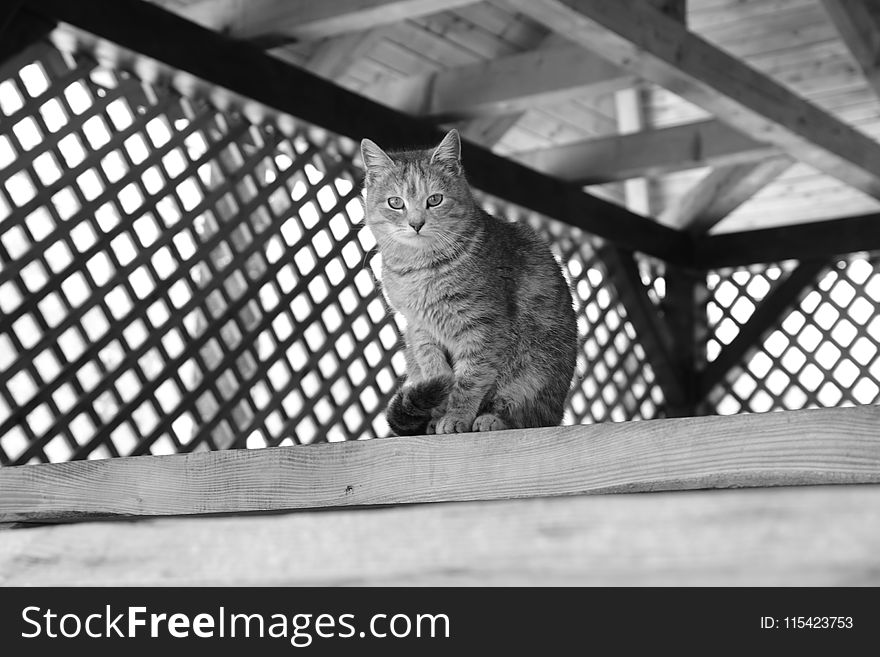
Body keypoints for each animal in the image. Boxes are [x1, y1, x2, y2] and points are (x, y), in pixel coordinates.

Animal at [358, 129, 576, 436]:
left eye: (435, 199)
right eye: (396, 202)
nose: (416, 223)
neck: (420, 268)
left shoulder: (483, 327)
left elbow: (470, 380)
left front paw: (456, 416)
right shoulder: (419, 328)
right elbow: (435, 369)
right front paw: (441, 406)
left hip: (536, 369)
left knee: (526, 415)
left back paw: (491, 420)